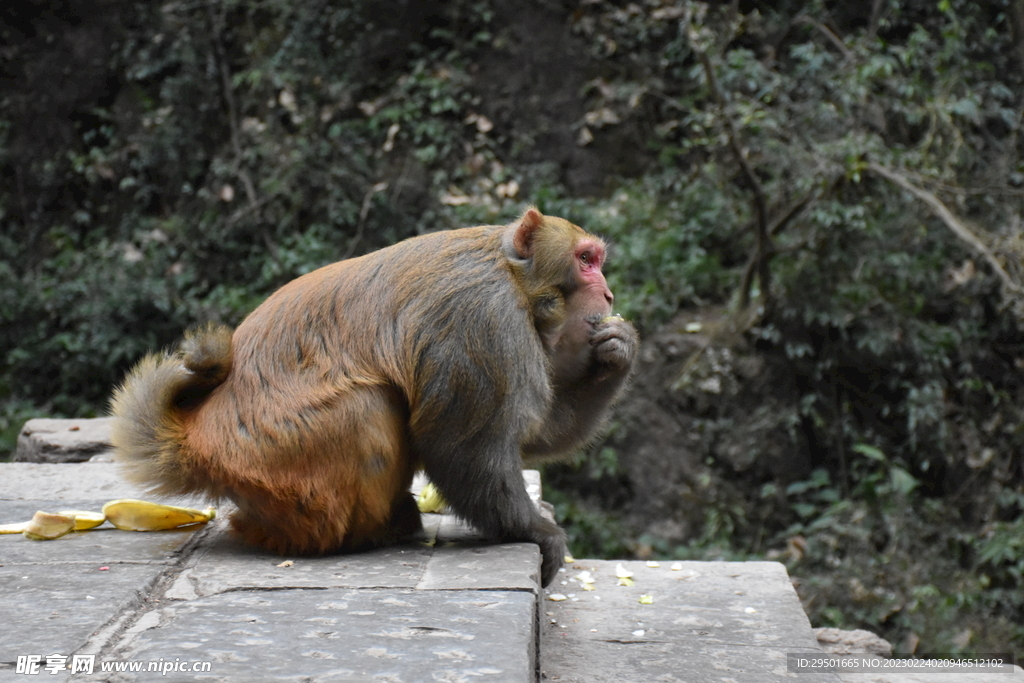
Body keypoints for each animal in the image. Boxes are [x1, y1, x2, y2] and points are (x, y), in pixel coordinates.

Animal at [114, 205, 638, 585]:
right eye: (586, 261)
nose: (610, 295)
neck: (513, 277)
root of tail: (198, 439)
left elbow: (531, 436)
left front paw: (617, 352)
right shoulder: (484, 320)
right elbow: (465, 447)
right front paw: (540, 534)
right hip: (280, 461)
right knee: (372, 405)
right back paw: (359, 535)